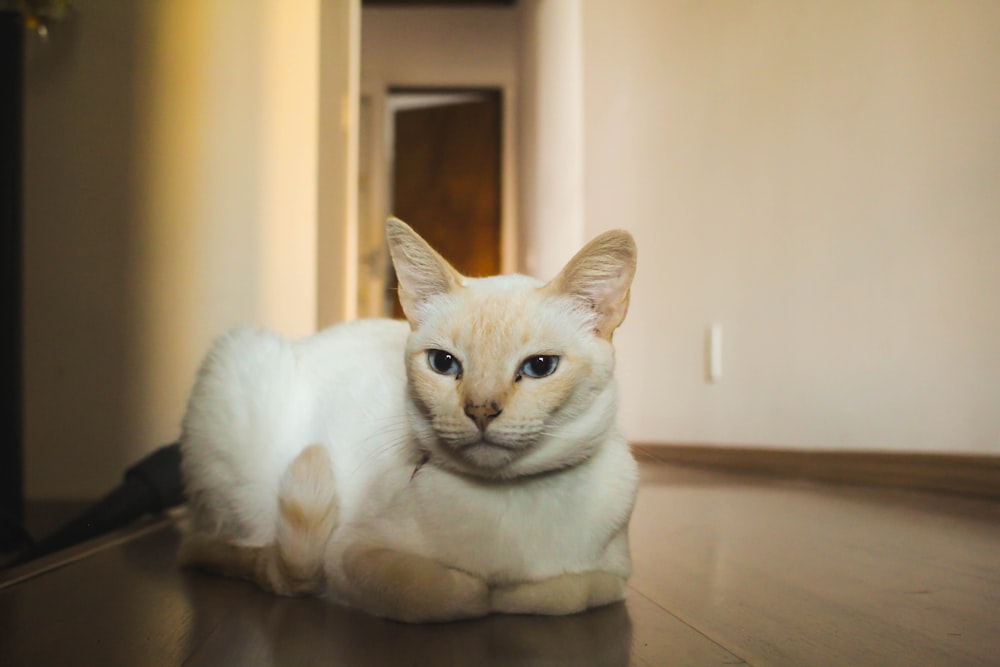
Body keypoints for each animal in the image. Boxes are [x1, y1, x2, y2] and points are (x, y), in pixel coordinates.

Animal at [180, 218, 636, 620]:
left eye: (540, 366)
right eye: (443, 363)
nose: (481, 410)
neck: (503, 501)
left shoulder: (614, 578)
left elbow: (564, 592)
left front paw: (510, 591)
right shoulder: (348, 555)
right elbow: (450, 594)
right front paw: (483, 590)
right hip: (239, 360)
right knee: (222, 548)